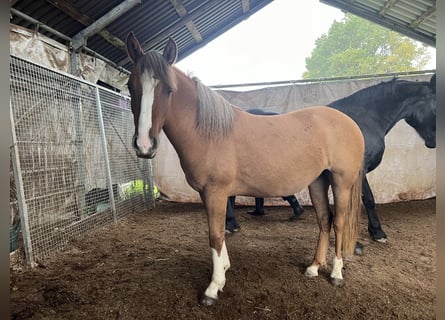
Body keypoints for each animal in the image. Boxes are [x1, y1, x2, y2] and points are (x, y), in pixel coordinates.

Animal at [125, 33, 364, 306]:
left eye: (168, 89)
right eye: (131, 86)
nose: (144, 145)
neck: (210, 133)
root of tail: (350, 123)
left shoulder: (216, 192)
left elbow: (215, 235)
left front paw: (213, 288)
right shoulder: (209, 194)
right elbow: (219, 232)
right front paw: (224, 270)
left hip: (341, 182)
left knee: (339, 223)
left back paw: (336, 274)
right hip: (317, 181)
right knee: (324, 220)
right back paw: (314, 267)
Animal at [238, 73, 436, 248]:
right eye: (436, 106)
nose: (433, 142)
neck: (362, 121)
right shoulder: (358, 172)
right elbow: (367, 200)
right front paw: (374, 234)